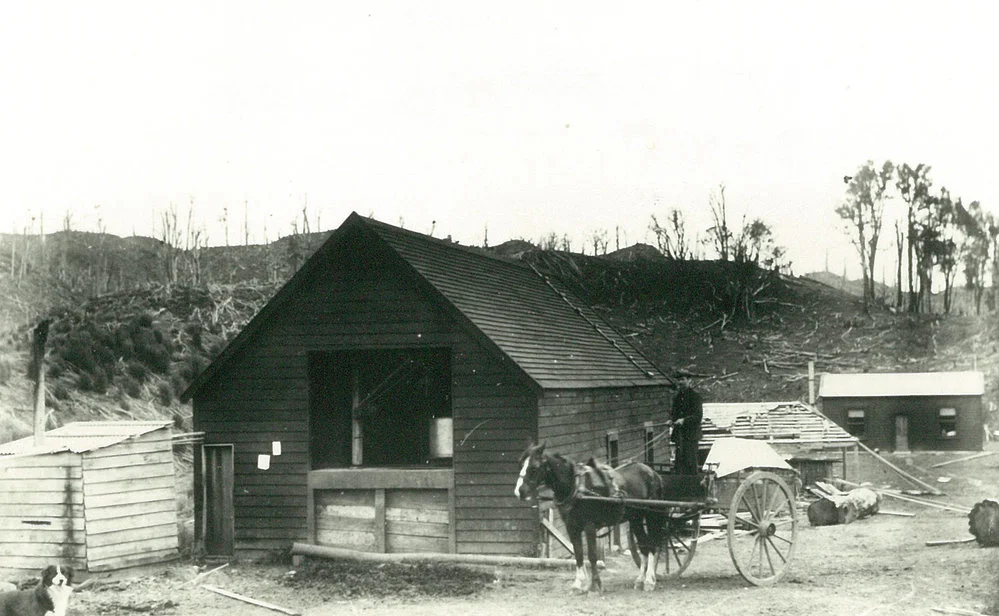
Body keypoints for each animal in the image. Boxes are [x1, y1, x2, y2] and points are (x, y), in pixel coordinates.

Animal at [516, 442, 664, 592]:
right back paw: (640, 580)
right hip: (635, 518)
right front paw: (578, 583)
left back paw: (649, 581)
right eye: (521, 464)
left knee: (652, 545)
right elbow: (579, 553)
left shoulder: (590, 526)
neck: (576, 487)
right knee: (644, 546)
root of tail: (652, 473)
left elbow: (592, 556)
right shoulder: (571, 526)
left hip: (651, 515)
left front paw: (595, 585)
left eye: (534, 467)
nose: (519, 492)